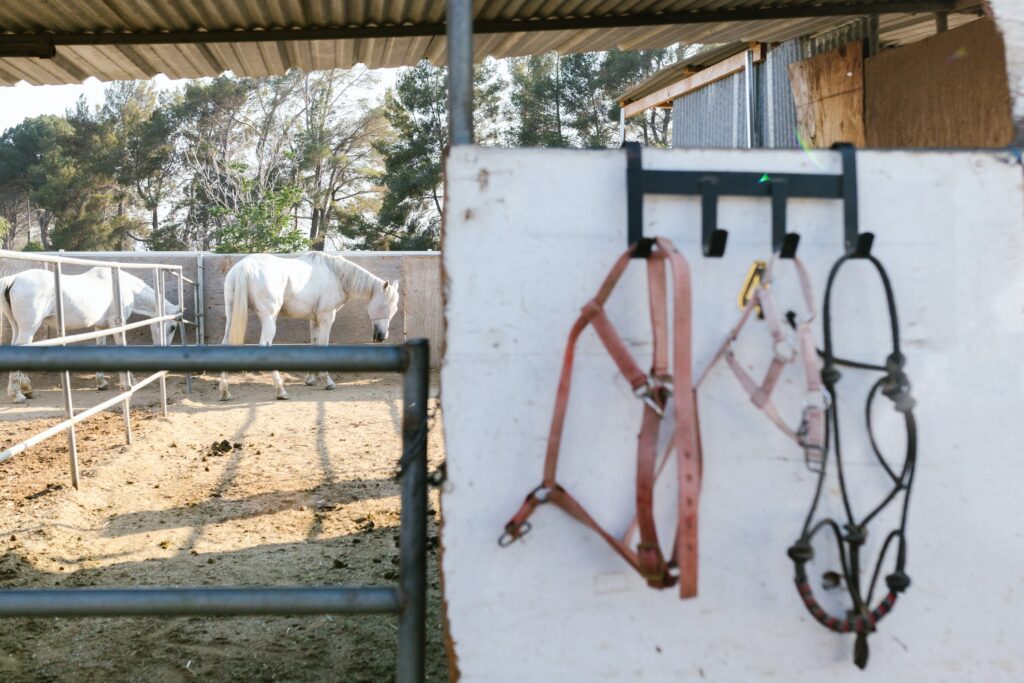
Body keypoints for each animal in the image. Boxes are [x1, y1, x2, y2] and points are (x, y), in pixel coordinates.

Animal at [0, 266, 179, 403]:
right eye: (172, 327)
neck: (121, 286)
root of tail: (13, 279)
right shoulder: (116, 325)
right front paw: (132, 381)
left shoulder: (100, 327)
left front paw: (102, 383)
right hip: (28, 328)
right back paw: (17, 395)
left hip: (18, 328)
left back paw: (26, 389)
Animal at [217, 250, 399, 401]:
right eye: (386, 306)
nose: (382, 336)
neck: (335, 274)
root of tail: (245, 267)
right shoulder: (326, 318)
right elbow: (323, 346)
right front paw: (328, 382)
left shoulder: (314, 320)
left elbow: (314, 346)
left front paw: (311, 379)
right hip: (269, 319)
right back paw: (281, 391)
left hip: (231, 316)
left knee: (225, 345)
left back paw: (225, 392)